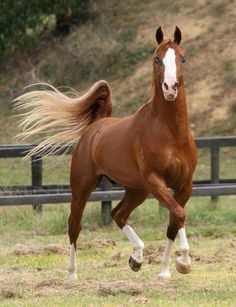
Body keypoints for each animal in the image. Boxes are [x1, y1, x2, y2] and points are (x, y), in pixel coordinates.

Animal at [14, 27, 197, 280]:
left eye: (183, 58)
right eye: (156, 59)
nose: (170, 88)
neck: (171, 134)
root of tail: (96, 126)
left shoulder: (184, 185)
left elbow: (173, 221)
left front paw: (166, 271)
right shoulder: (155, 181)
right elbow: (178, 214)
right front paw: (184, 263)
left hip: (136, 190)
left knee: (119, 214)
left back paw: (136, 258)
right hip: (83, 186)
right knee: (75, 224)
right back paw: (72, 274)